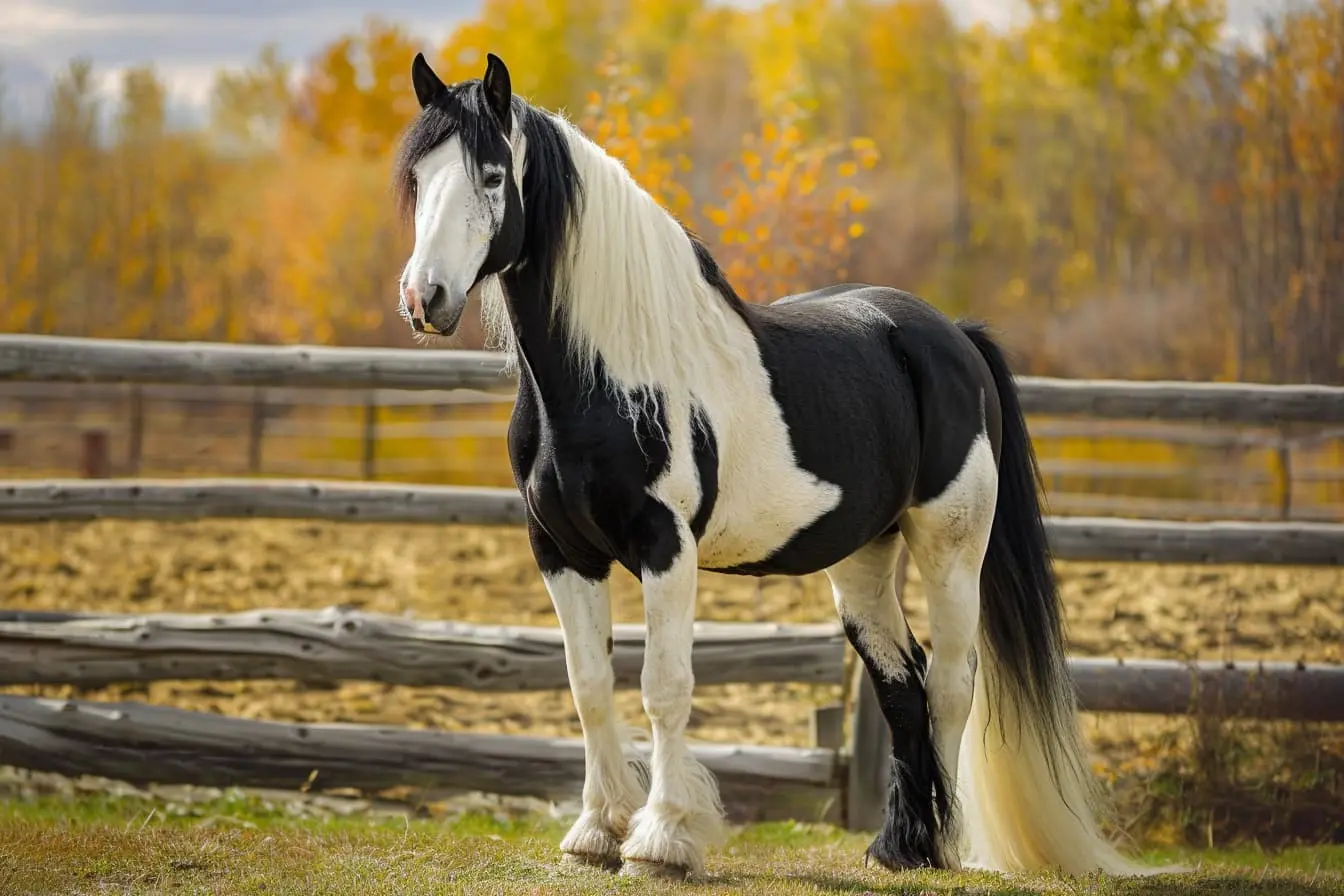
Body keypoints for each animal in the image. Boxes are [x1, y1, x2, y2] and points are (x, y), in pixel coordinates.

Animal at [392, 50, 1161, 881]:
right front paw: (596, 832)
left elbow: (664, 688)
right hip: (862, 561)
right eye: (420, 176)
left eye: (493, 173)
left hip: (951, 547)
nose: (425, 298)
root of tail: (949, 335)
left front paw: (662, 841)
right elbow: (590, 685)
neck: (605, 374)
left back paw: (947, 844)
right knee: (901, 682)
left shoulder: (665, 548)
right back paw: (900, 846)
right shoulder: (560, 551)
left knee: (952, 682)